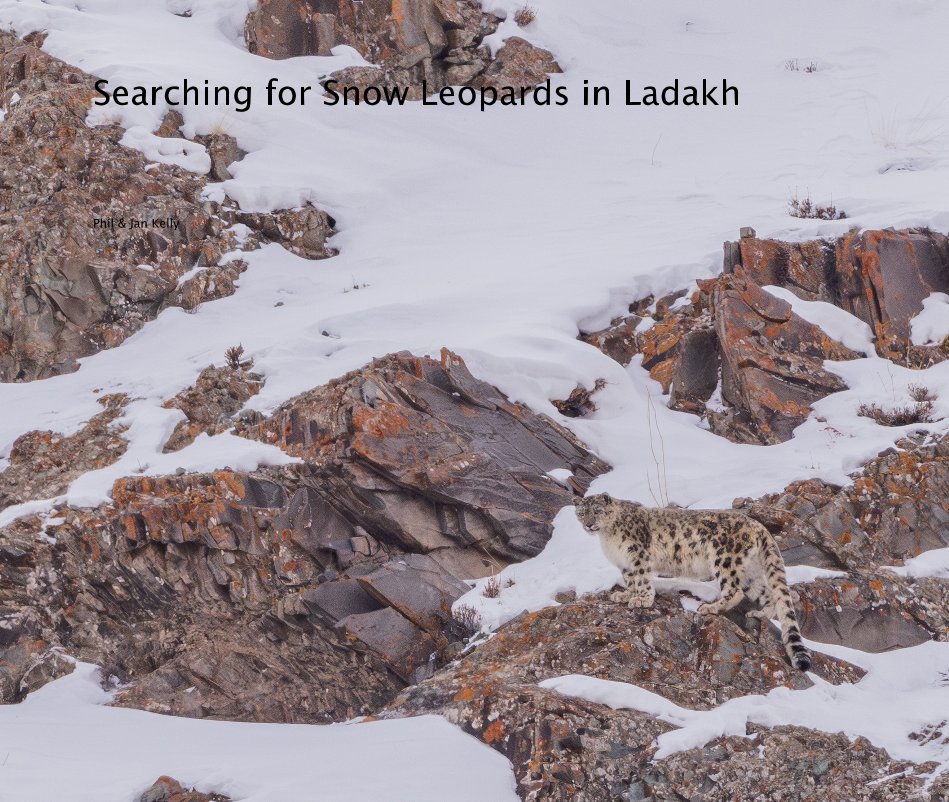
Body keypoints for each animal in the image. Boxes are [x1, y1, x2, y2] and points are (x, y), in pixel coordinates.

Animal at [572, 490, 812, 672]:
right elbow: (631, 579)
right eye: (582, 513)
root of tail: (758, 526)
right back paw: (759, 614)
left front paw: (642, 599)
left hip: (725, 559)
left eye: (597, 511)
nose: (589, 525)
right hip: (749, 572)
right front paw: (625, 595)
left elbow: (641, 578)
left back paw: (710, 607)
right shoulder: (625, 563)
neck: (608, 537)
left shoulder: (637, 555)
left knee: (734, 590)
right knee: (769, 594)